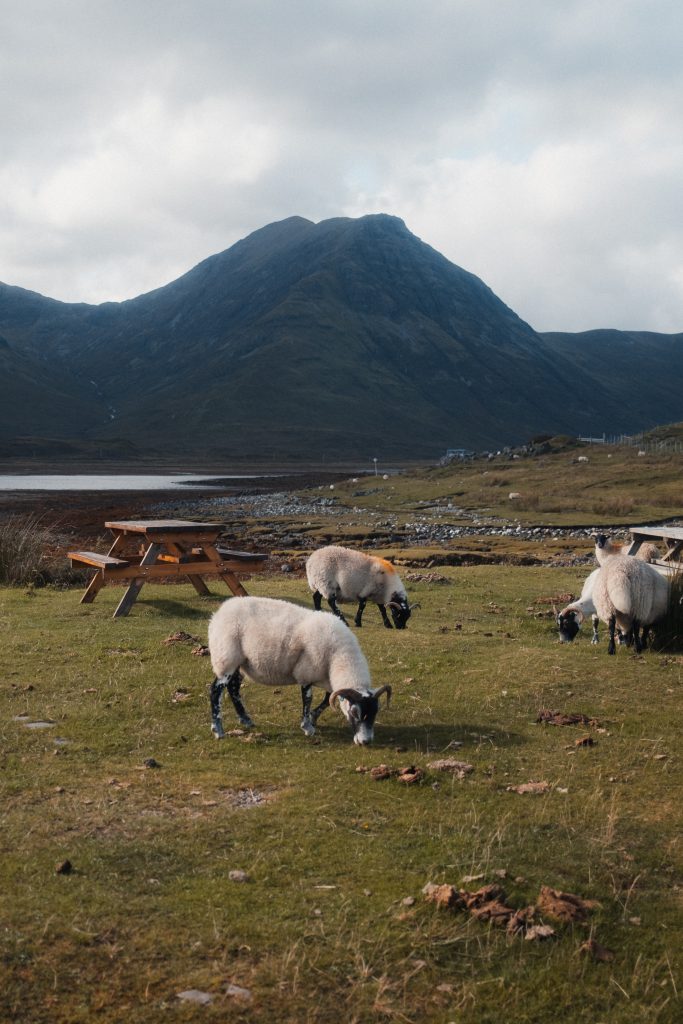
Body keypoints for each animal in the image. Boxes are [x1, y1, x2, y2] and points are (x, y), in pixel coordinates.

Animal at [207, 596, 392, 744]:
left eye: (375, 712)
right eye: (354, 713)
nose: (365, 741)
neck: (340, 655)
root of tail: (219, 612)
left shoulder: (326, 678)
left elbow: (327, 699)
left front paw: (313, 717)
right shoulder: (306, 672)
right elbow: (307, 699)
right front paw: (307, 726)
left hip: (240, 662)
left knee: (233, 688)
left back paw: (245, 719)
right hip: (226, 657)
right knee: (216, 690)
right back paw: (218, 729)